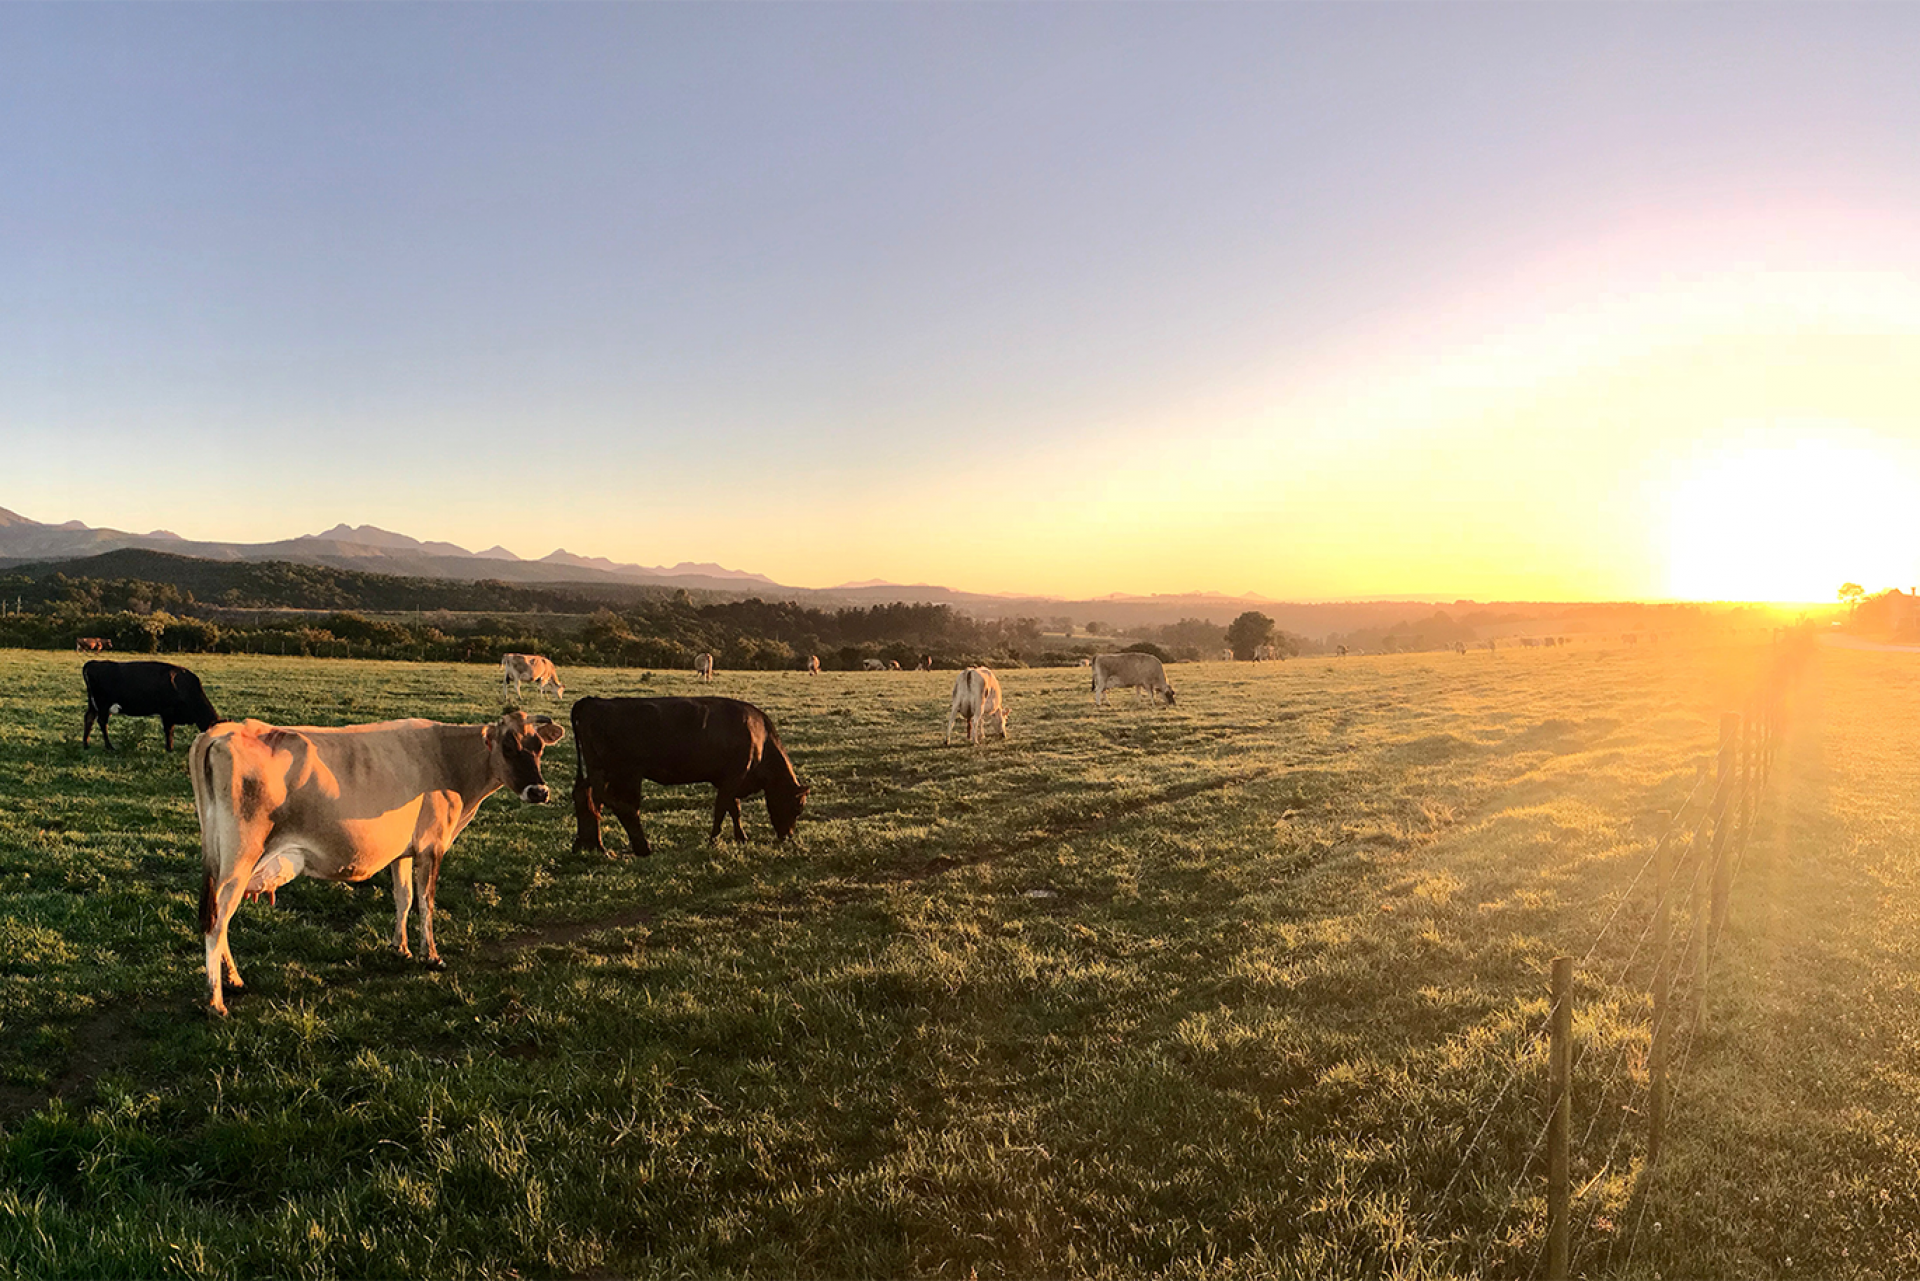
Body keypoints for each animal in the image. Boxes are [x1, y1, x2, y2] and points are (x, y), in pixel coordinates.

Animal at [82, 660, 220, 752]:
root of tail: (93, 663)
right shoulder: (167, 712)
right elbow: (169, 730)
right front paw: (169, 748)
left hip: (94, 704)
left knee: (89, 718)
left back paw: (86, 744)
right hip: (103, 705)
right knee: (102, 722)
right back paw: (109, 746)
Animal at [188, 706, 560, 1014]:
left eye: (539, 748)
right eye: (508, 748)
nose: (539, 792)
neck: (446, 758)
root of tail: (224, 731)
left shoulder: (403, 851)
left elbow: (404, 897)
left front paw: (401, 948)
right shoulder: (432, 846)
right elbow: (426, 902)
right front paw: (432, 957)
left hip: (222, 862)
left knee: (219, 920)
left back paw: (234, 981)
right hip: (239, 861)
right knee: (218, 921)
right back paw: (216, 1000)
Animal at [568, 695, 810, 856]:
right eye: (798, 807)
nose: (788, 836)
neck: (761, 736)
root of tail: (592, 701)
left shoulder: (726, 780)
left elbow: (733, 809)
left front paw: (741, 838)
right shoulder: (734, 777)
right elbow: (722, 809)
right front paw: (714, 840)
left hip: (599, 771)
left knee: (586, 797)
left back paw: (589, 845)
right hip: (620, 773)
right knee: (619, 805)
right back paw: (638, 847)